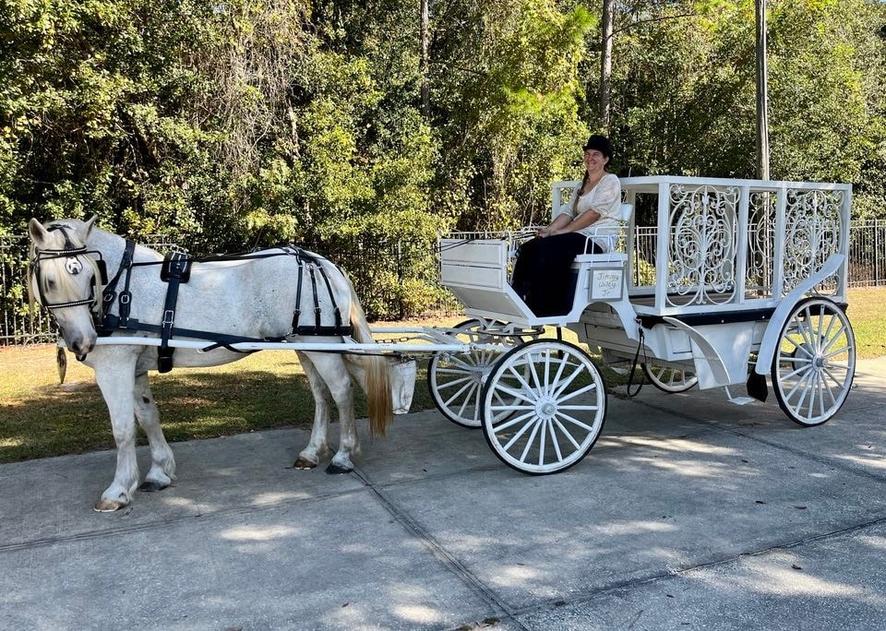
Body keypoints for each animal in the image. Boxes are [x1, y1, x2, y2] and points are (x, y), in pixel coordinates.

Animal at [27, 217, 416, 512]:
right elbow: (148, 417)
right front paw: (159, 473)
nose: (83, 342)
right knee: (322, 395)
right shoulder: (134, 369)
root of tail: (320, 262)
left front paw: (119, 490)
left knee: (342, 391)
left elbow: (123, 429)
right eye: (50, 280)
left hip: (321, 345)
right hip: (306, 346)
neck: (121, 286)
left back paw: (343, 457)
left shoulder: (115, 368)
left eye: (86, 275)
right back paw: (311, 453)